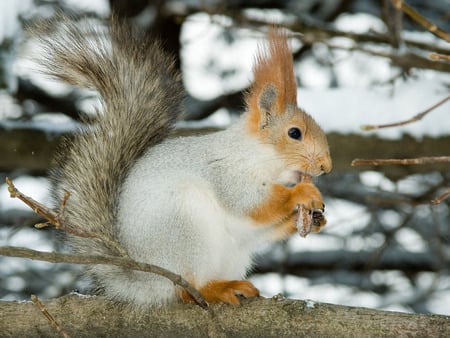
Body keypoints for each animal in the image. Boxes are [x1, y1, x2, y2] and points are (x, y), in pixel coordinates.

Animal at [30, 15, 330, 306]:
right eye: (294, 133)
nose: (326, 166)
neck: (258, 154)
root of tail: (145, 281)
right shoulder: (226, 172)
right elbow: (250, 202)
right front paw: (303, 193)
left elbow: (261, 228)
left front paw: (314, 219)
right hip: (184, 225)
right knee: (186, 289)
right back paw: (216, 289)